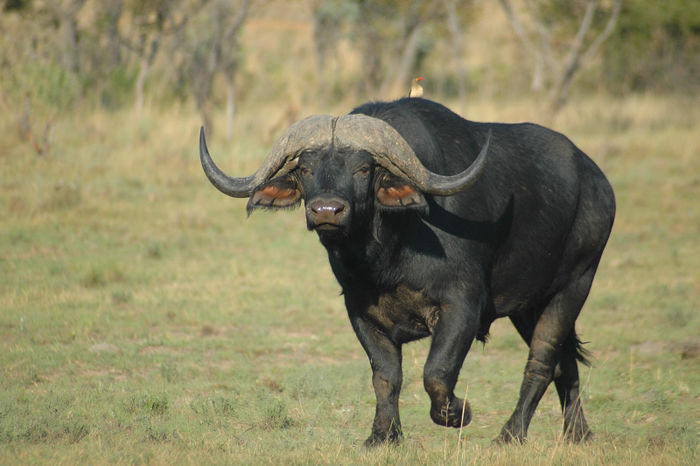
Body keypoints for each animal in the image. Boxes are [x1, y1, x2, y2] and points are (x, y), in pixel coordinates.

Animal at [198, 97, 615, 446]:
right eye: (304, 168)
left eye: (363, 168)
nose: (327, 210)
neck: (386, 255)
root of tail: (597, 182)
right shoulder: (361, 312)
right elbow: (385, 376)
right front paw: (382, 436)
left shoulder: (462, 306)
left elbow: (437, 373)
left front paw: (459, 413)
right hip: (528, 305)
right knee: (565, 364)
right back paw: (578, 434)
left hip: (574, 286)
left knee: (542, 362)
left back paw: (510, 435)